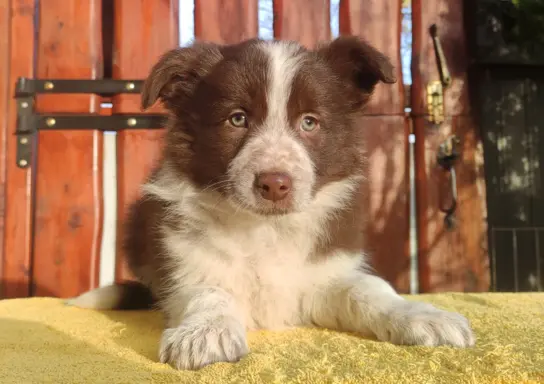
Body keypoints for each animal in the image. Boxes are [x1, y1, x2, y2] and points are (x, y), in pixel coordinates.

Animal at [70, 37, 474, 370]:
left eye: (309, 122)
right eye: (237, 119)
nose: (275, 184)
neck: (266, 228)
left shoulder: (321, 274)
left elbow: (368, 288)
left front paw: (423, 316)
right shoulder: (183, 262)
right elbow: (208, 290)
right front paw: (206, 333)